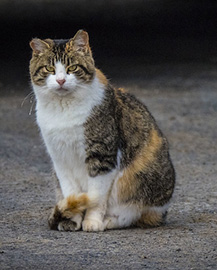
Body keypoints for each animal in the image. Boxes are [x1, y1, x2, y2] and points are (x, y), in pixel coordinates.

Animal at [28, 29, 175, 232]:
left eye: (72, 67)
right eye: (49, 69)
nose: (60, 80)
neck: (64, 110)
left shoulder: (103, 156)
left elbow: (96, 197)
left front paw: (92, 222)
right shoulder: (60, 159)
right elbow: (71, 193)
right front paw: (71, 218)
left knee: (130, 215)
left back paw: (108, 221)